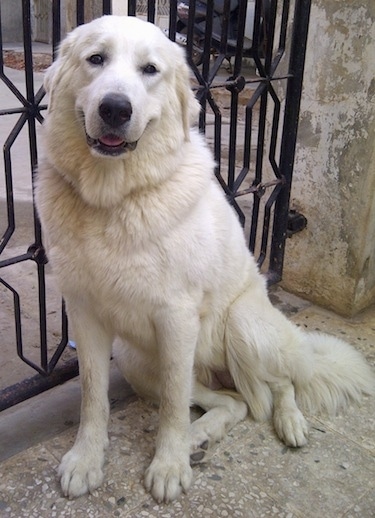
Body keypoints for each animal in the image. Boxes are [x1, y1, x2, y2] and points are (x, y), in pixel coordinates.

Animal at [35, 15, 375, 504]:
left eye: (150, 70)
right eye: (95, 59)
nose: (115, 108)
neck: (114, 200)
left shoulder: (177, 318)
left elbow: (175, 406)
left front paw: (169, 465)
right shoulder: (87, 316)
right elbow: (92, 397)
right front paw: (86, 459)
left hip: (243, 324)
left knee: (279, 387)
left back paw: (287, 423)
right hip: (136, 361)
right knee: (236, 403)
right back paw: (201, 436)